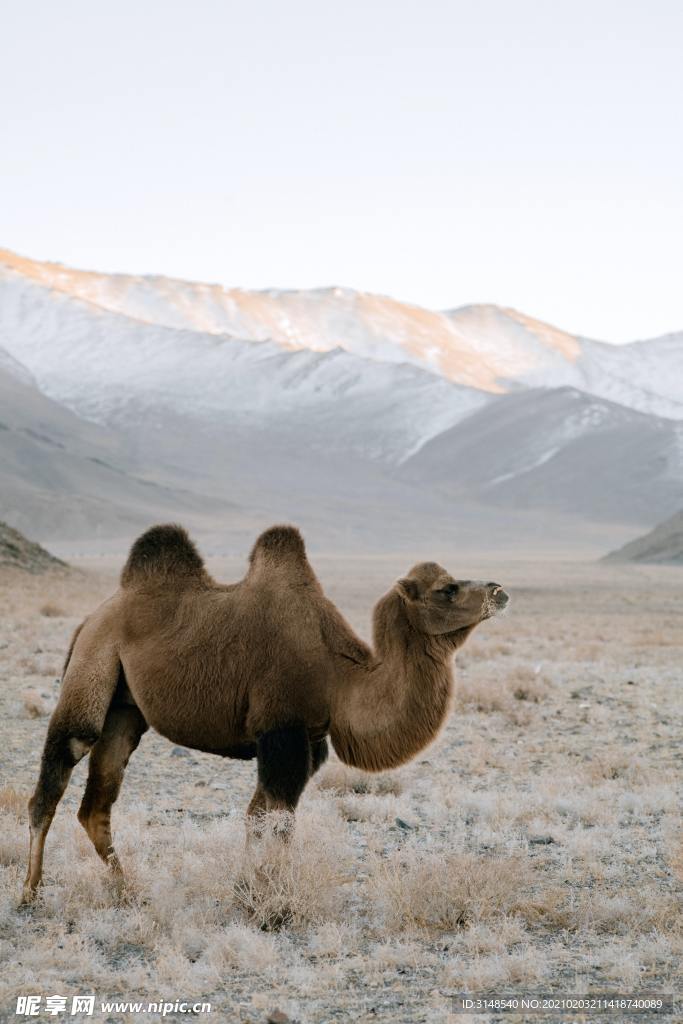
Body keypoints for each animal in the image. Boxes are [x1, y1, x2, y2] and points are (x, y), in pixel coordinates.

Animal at [20, 524, 507, 901]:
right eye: (447, 589)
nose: (499, 590)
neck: (338, 676)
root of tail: (91, 618)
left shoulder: (308, 742)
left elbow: (258, 817)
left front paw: (248, 888)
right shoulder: (281, 731)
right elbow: (278, 821)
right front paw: (275, 896)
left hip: (125, 708)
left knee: (97, 803)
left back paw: (127, 889)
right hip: (93, 662)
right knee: (60, 767)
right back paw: (30, 891)